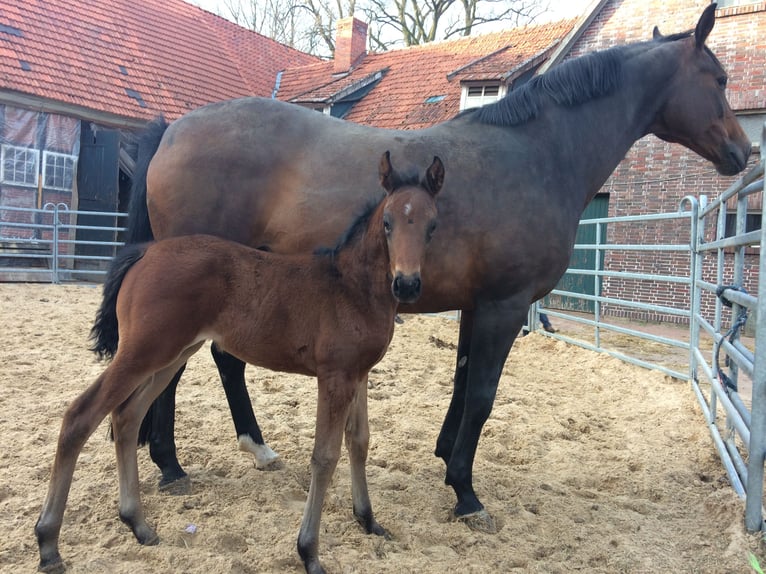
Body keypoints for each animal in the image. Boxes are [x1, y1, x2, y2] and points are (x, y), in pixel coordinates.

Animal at [35, 152, 445, 574]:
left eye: (432, 225)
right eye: (388, 223)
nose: (407, 284)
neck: (351, 287)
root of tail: (146, 252)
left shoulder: (359, 374)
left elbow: (359, 442)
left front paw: (368, 520)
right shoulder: (335, 377)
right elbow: (325, 456)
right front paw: (309, 552)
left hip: (172, 354)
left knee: (127, 416)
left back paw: (138, 524)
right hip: (143, 351)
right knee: (81, 415)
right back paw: (49, 543)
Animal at [124, 4, 750, 532]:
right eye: (719, 79)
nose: (743, 152)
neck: (537, 154)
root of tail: (172, 131)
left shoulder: (478, 305)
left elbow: (462, 383)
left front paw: (448, 460)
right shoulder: (504, 305)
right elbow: (483, 394)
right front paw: (467, 494)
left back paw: (230, 452)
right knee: (184, 367)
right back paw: (172, 465)